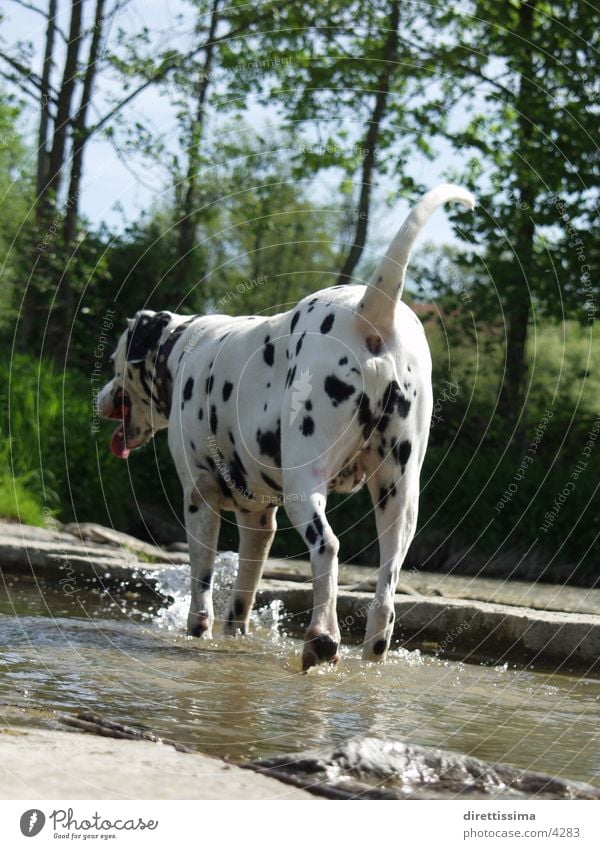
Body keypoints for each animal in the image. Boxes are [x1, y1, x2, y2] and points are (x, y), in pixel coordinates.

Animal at [97, 186, 474, 668]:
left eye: (114, 363)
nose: (102, 397)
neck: (182, 351)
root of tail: (369, 311)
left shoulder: (200, 499)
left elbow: (202, 586)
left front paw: (198, 631)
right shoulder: (259, 518)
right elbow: (242, 595)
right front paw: (234, 635)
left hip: (305, 486)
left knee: (327, 547)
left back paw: (321, 638)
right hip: (397, 498)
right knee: (386, 586)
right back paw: (371, 651)